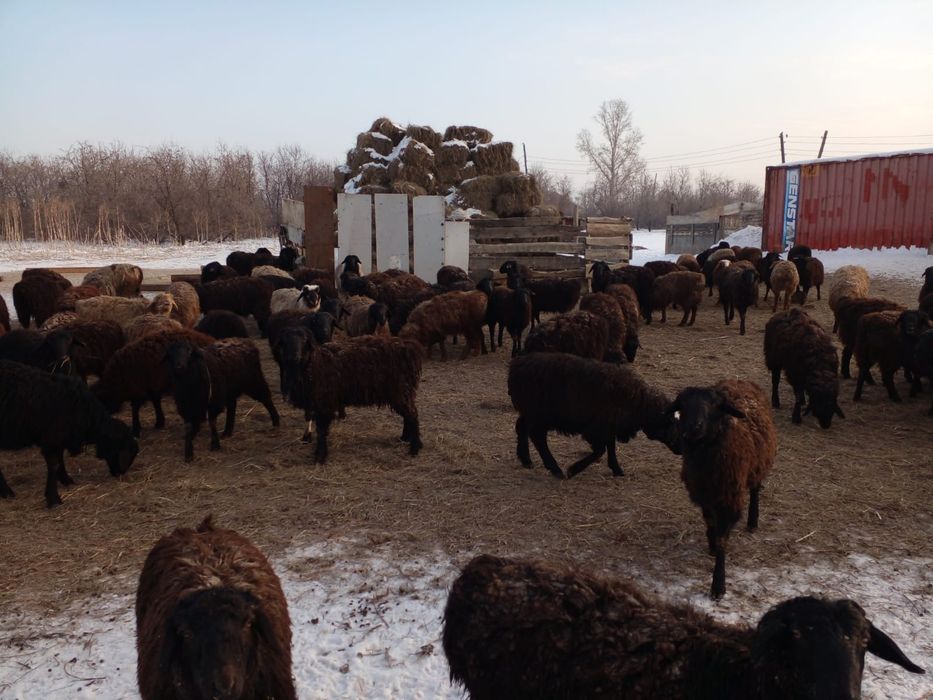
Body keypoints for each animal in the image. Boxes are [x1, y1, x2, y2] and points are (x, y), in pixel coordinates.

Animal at [0, 360, 138, 507]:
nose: (119, 474)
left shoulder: (59, 438)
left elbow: (60, 459)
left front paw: (65, 479)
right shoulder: (52, 438)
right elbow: (54, 465)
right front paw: (53, 498)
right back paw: (7, 491)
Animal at [277, 328, 423, 463]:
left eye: (304, 340)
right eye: (285, 341)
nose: (294, 356)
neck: (315, 363)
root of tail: (409, 347)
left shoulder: (325, 402)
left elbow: (322, 431)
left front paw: (320, 456)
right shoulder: (314, 402)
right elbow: (314, 423)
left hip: (401, 390)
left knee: (412, 415)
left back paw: (414, 448)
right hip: (403, 392)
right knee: (408, 415)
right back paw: (404, 438)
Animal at [508, 352, 679, 479]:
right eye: (669, 422)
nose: (680, 448)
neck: (638, 403)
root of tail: (516, 366)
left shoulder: (609, 426)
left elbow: (610, 446)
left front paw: (617, 469)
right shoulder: (597, 428)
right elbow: (600, 450)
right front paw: (573, 469)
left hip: (531, 413)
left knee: (522, 427)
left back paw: (526, 460)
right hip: (541, 415)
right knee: (538, 438)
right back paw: (555, 469)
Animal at [672, 379, 776, 598]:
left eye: (714, 405)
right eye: (683, 404)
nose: (694, 427)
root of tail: (739, 380)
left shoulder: (729, 497)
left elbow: (722, 539)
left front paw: (718, 586)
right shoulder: (703, 493)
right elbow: (710, 522)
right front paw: (711, 545)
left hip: (758, 464)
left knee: (755, 490)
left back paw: (752, 521)